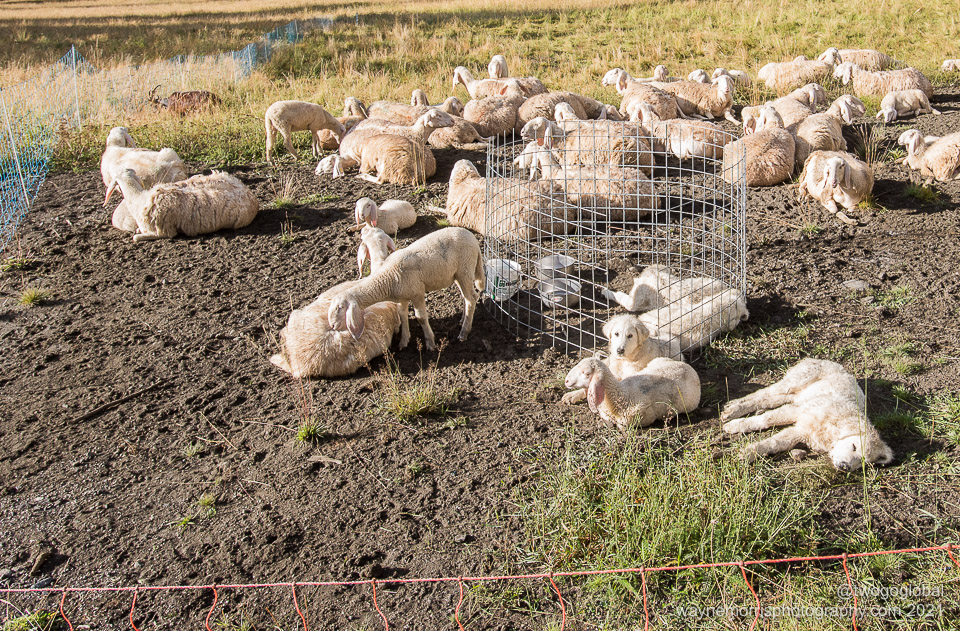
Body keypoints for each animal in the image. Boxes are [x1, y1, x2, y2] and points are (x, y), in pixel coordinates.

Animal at [327, 227, 485, 351]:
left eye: (340, 308)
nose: (332, 325)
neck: (387, 276)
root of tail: (473, 239)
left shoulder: (417, 293)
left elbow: (421, 318)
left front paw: (430, 343)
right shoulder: (401, 297)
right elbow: (402, 315)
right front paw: (404, 341)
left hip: (465, 270)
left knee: (471, 299)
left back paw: (464, 332)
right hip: (457, 274)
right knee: (468, 296)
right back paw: (463, 319)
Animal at [722, 358, 894, 470]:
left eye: (862, 462)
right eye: (854, 446)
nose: (845, 467)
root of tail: (817, 358)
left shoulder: (802, 431)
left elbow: (776, 443)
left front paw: (748, 453)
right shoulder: (800, 410)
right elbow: (767, 419)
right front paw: (734, 427)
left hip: (794, 394)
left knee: (769, 399)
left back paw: (732, 408)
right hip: (796, 380)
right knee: (763, 393)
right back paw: (732, 409)